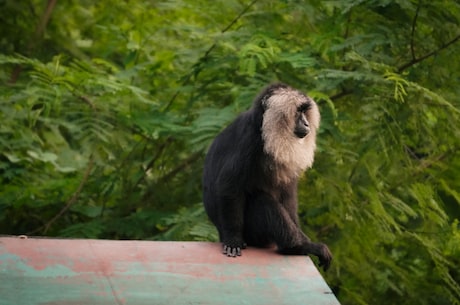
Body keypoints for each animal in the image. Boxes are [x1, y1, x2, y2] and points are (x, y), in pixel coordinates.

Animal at [203, 82, 332, 270]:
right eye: (297, 112)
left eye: (304, 112)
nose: (306, 123)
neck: (264, 128)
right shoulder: (250, 140)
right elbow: (229, 187)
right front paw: (233, 239)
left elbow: (288, 196)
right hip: (252, 233)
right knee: (262, 201)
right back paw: (296, 247)